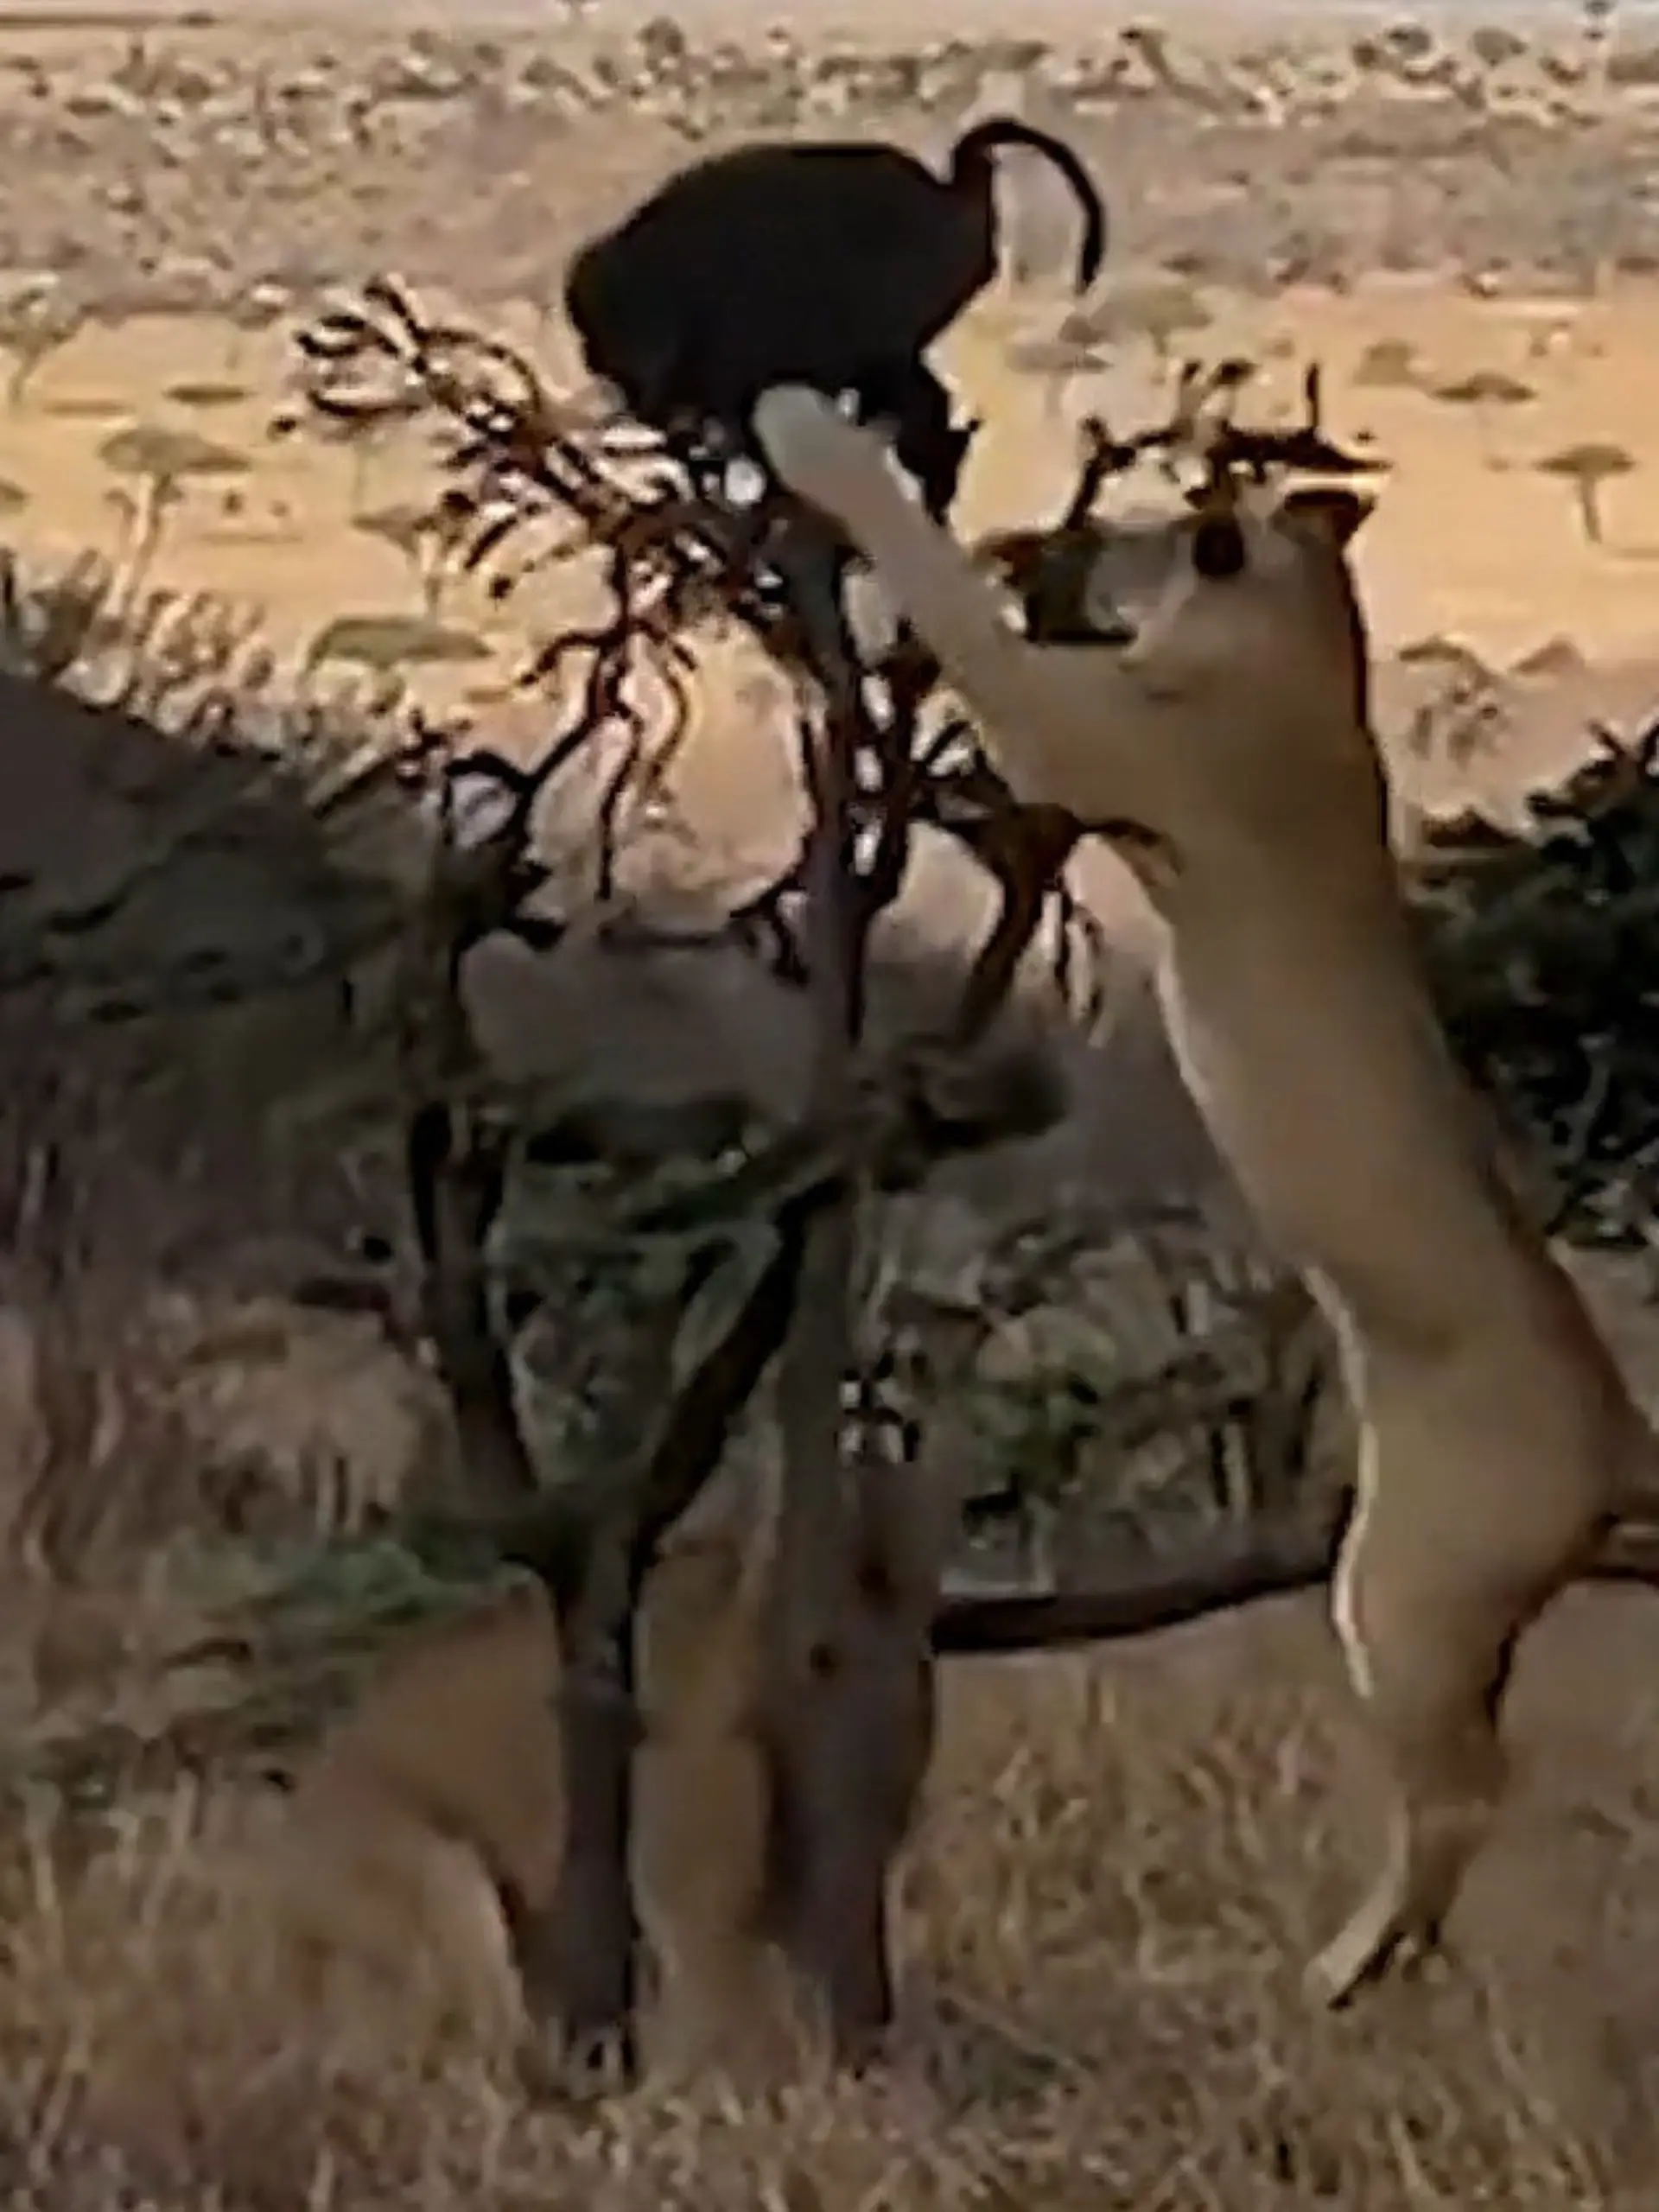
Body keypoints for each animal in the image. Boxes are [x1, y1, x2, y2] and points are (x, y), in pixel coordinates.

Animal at [753, 381, 1659, 2008]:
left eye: (1149, 530)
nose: (1063, 544)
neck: (1301, 641)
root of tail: (1620, 1440)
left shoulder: (1078, 727)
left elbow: (943, 588)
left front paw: (819, 446)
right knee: (1466, 1792)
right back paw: (1367, 1963)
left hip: (1405, 1591)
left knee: (1469, 1788)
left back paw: (1339, 1968)